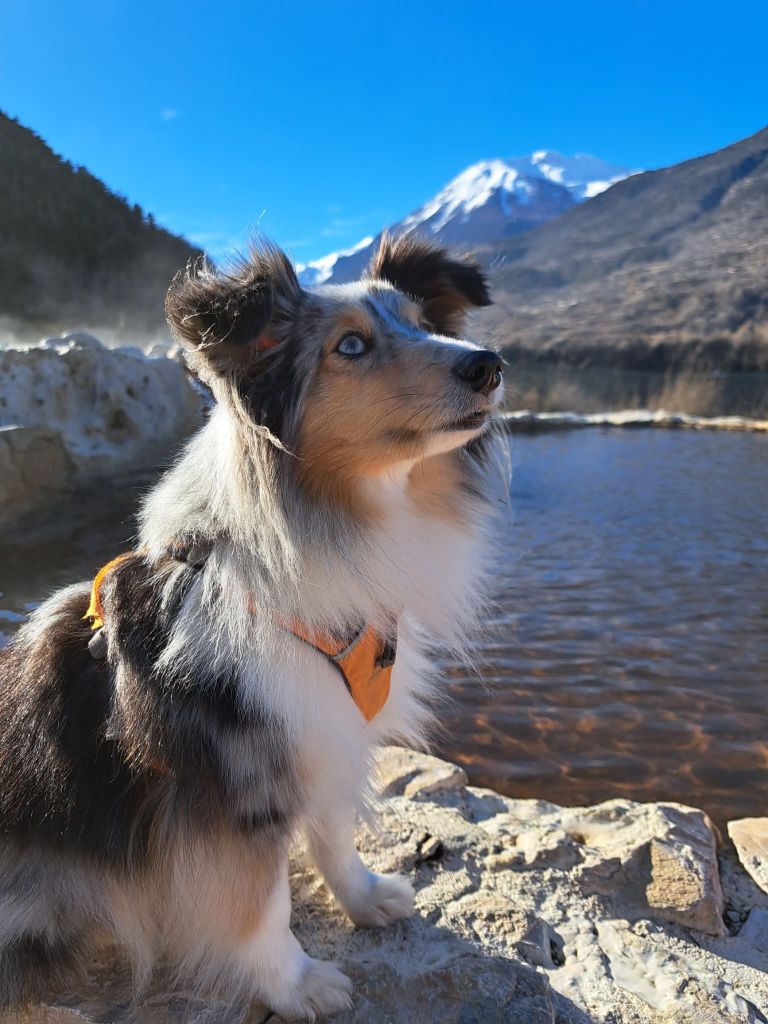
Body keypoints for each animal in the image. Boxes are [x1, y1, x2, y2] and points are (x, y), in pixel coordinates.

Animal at [0, 234, 505, 1015]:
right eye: (350, 346)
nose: (488, 365)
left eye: (426, 322)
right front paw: (297, 985)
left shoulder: (321, 732)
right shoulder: (232, 784)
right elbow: (259, 905)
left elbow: (332, 836)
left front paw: (364, 899)